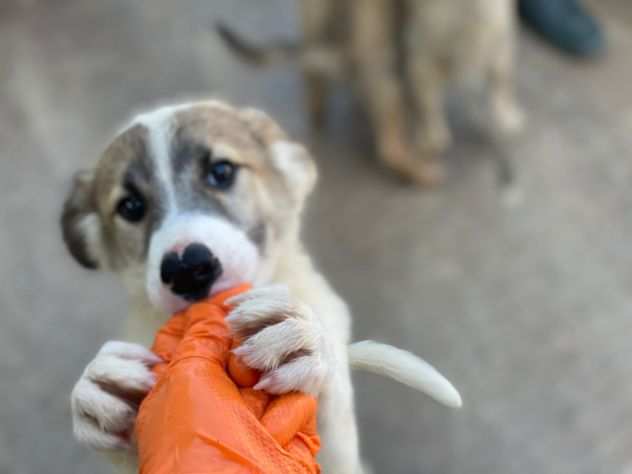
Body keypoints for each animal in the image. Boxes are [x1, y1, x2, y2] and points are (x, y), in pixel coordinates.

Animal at [216, 0, 524, 185]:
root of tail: (349, 60)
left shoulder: (500, 49)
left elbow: (502, 86)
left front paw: (508, 117)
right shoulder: (419, 65)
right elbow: (429, 109)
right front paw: (432, 137)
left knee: (314, 71)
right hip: (389, 81)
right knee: (389, 147)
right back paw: (422, 172)